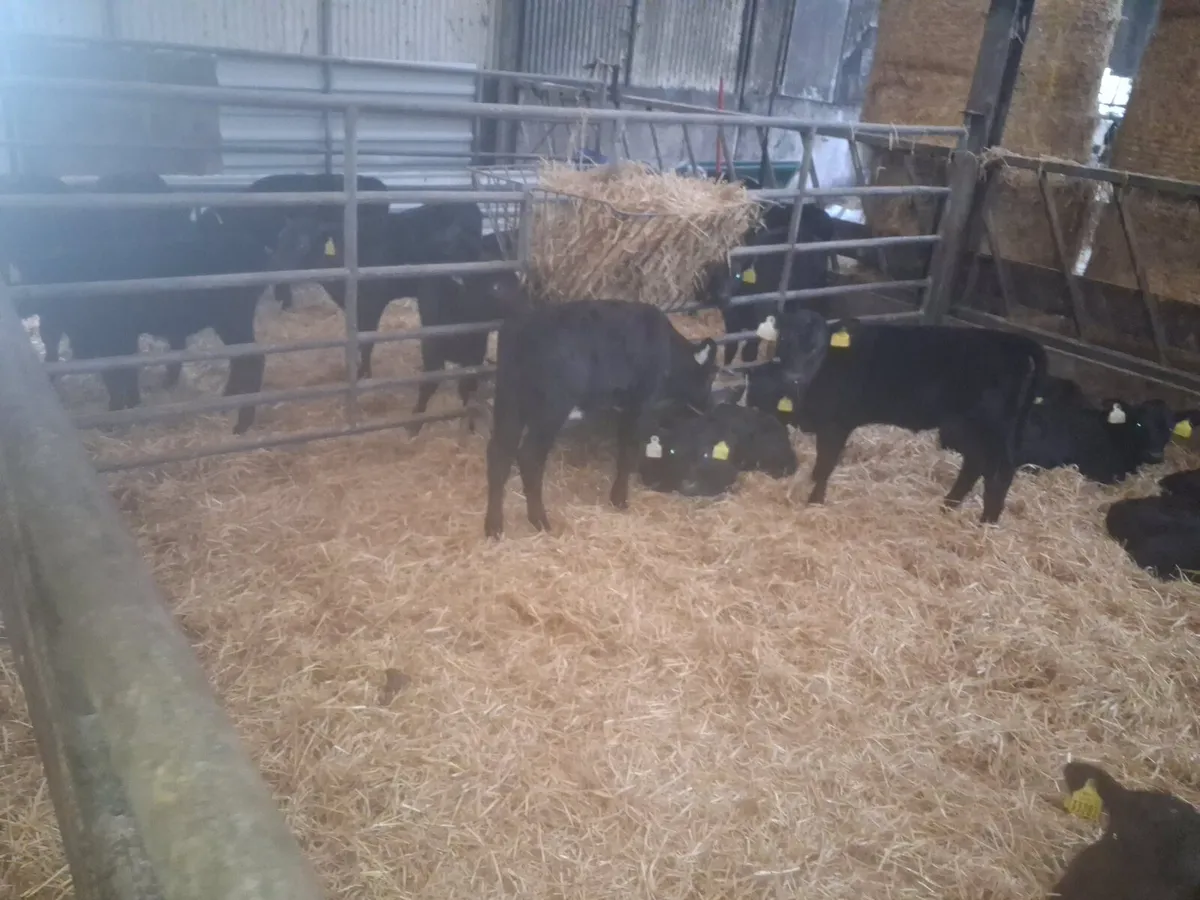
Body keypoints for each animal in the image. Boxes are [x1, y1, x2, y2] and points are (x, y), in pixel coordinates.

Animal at [483, 299, 719, 538]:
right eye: (710, 376)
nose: (709, 406)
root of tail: (522, 327)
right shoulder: (639, 403)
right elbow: (628, 451)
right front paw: (619, 499)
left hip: (508, 401)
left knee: (499, 453)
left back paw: (493, 525)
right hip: (551, 408)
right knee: (529, 456)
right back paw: (539, 519)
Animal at [746, 311, 1045, 523]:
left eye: (817, 347)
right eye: (784, 340)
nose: (794, 376)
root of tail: (1014, 342)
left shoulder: (836, 425)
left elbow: (825, 465)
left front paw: (814, 501)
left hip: (990, 427)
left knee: (1000, 472)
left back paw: (986, 523)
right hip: (964, 427)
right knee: (975, 465)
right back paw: (948, 507)